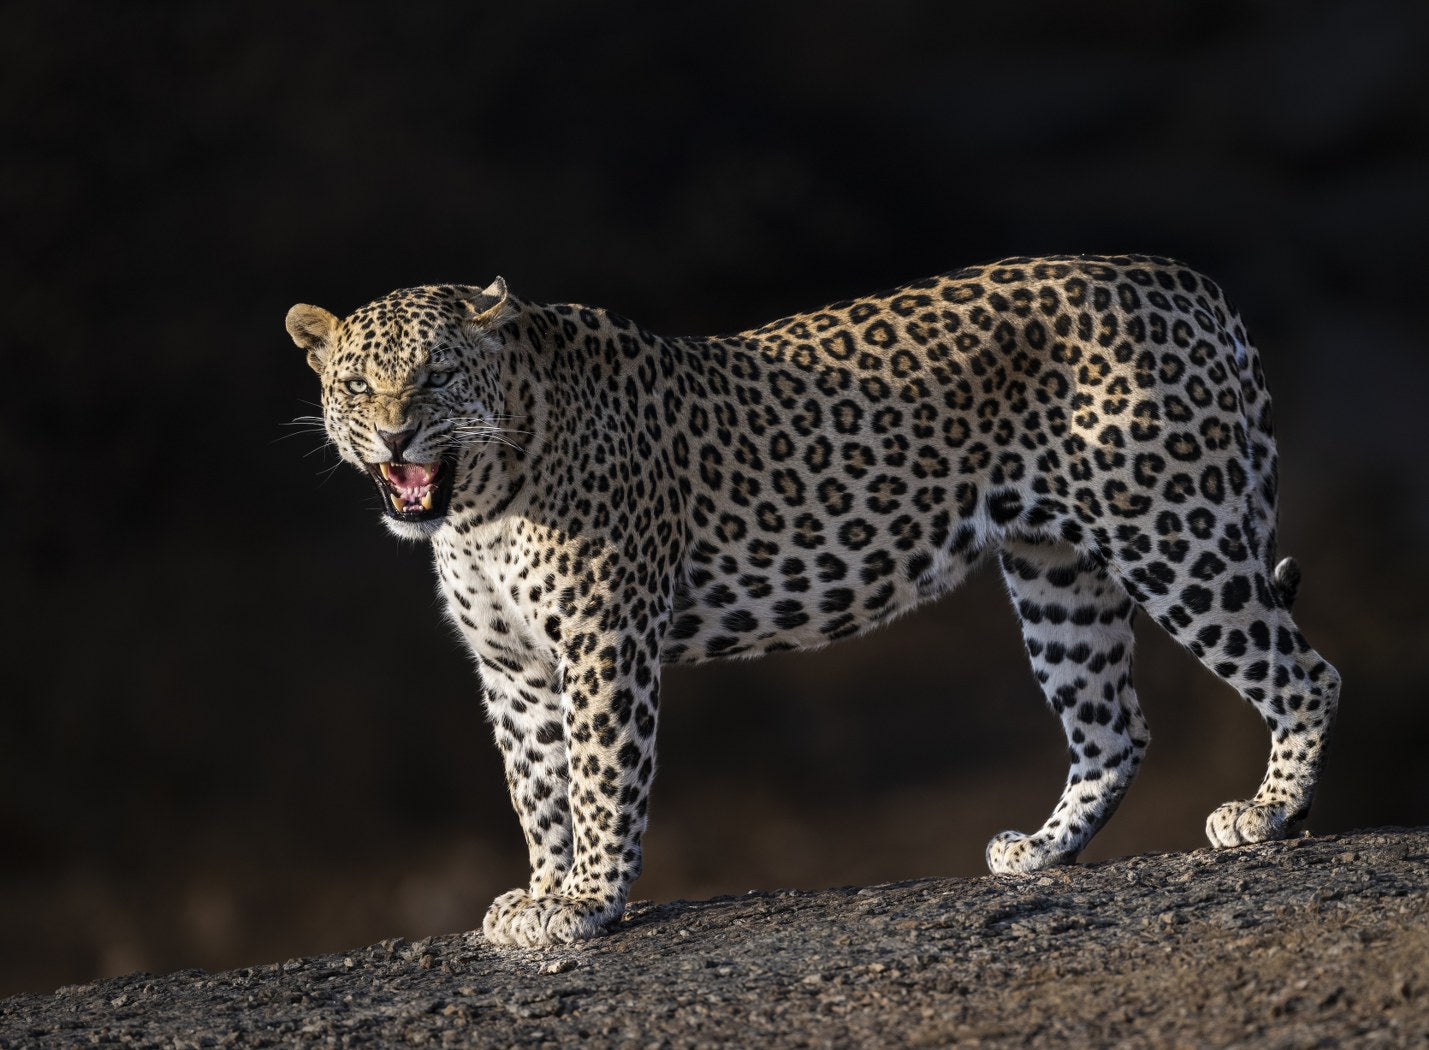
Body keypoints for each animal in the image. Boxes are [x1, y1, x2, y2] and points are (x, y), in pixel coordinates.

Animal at [286, 254, 1340, 949]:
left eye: (434, 375)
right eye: (356, 384)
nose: (394, 435)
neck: (482, 502)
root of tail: (1184, 281)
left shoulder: (602, 642)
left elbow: (598, 779)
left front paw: (585, 902)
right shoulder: (512, 668)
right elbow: (535, 788)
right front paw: (541, 891)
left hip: (1170, 526)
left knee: (1305, 672)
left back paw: (1264, 813)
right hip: (1055, 568)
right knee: (1112, 725)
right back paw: (1040, 852)